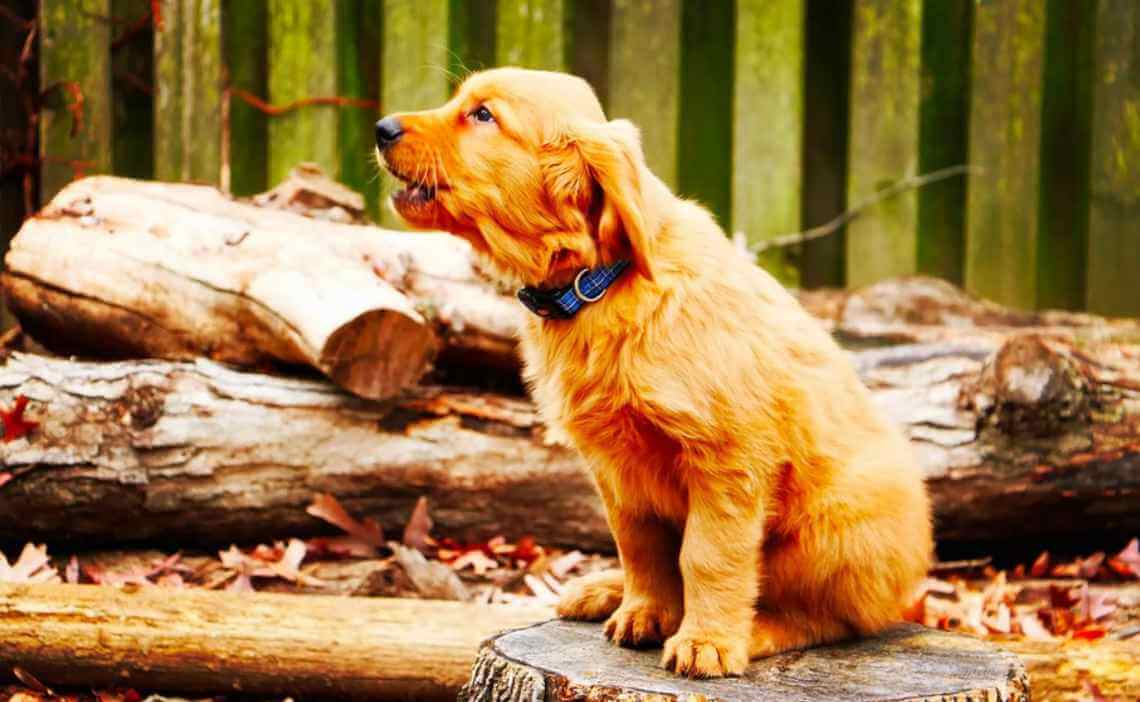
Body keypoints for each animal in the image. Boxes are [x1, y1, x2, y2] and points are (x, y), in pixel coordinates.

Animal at [378, 68, 930, 679]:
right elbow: (640, 547)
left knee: (831, 619)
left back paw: (756, 631)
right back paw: (603, 590)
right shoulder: (617, 470)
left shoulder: (727, 460)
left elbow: (707, 556)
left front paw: (706, 641)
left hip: (835, 528)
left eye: (483, 116)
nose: (382, 127)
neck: (600, 283)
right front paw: (644, 611)